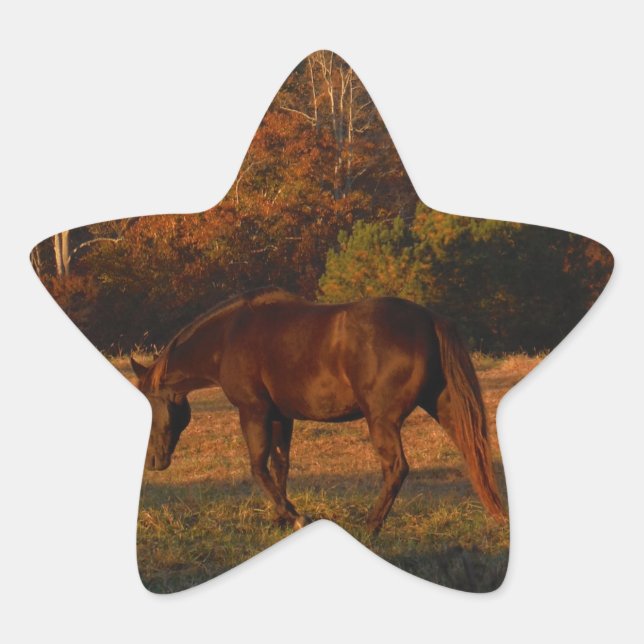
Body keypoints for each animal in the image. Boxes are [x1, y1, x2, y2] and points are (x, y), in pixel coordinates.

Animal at [130, 287, 506, 534]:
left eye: (148, 408)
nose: (153, 462)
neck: (229, 337)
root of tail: (429, 319)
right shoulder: (281, 416)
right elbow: (280, 465)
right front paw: (281, 517)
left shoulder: (253, 412)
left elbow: (258, 468)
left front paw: (296, 516)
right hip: (444, 407)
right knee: (473, 452)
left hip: (382, 422)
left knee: (397, 469)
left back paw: (371, 526)